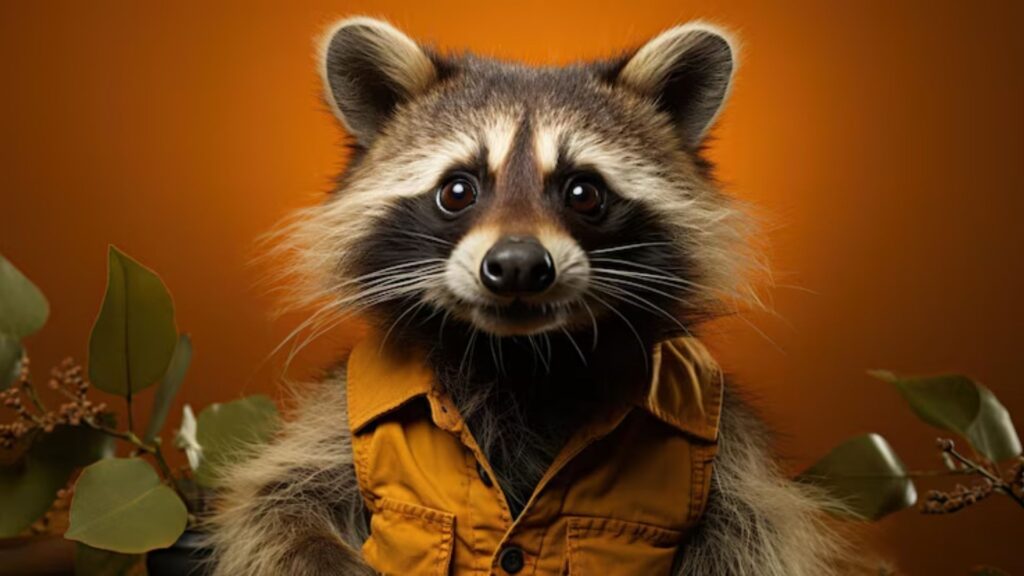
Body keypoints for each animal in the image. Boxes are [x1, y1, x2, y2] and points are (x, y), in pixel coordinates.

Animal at [208, 17, 868, 575]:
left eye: (583, 192)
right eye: (457, 190)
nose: (519, 266)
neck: (522, 358)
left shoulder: (726, 448)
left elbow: (751, 534)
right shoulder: (339, 420)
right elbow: (277, 504)